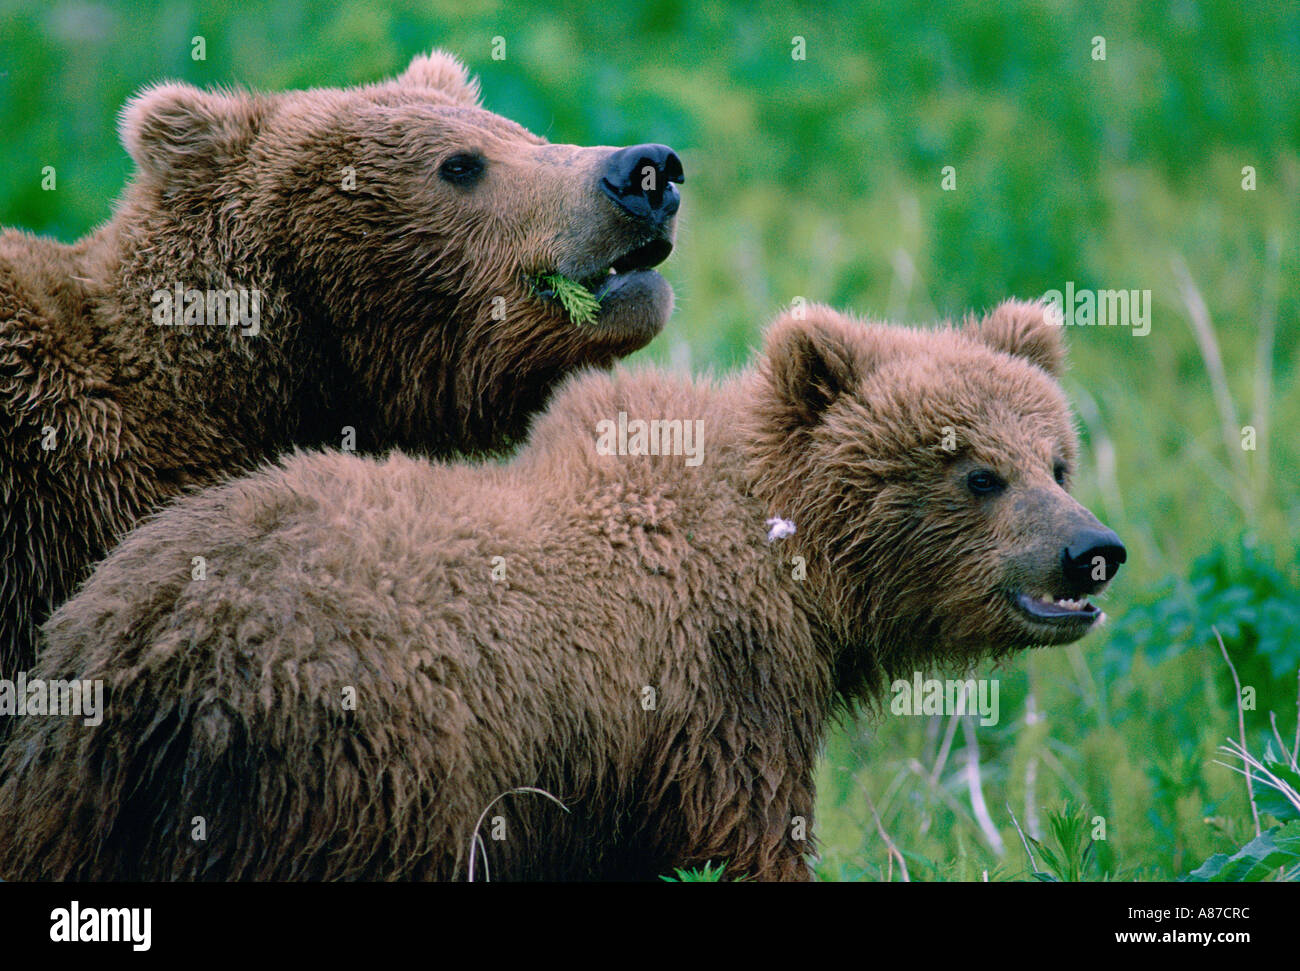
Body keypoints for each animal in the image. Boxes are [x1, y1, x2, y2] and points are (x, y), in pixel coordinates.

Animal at [0, 300, 1125, 881]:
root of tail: (132, 639)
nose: (1092, 550)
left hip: (75, 795)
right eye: (977, 472)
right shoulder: (713, 699)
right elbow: (745, 841)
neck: (790, 561)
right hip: (342, 768)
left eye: (1057, 459)